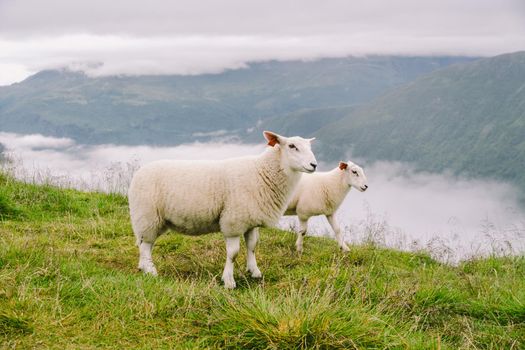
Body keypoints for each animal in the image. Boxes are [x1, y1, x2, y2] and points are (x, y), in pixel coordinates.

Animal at [127, 130, 316, 288]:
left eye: (309, 146)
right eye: (292, 146)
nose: (314, 164)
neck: (261, 172)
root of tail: (138, 174)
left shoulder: (250, 220)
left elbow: (252, 246)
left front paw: (254, 272)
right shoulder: (233, 221)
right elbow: (233, 253)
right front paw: (229, 281)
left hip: (156, 220)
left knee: (145, 244)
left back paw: (143, 267)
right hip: (147, 216)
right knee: (145, 246)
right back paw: (151, 272)